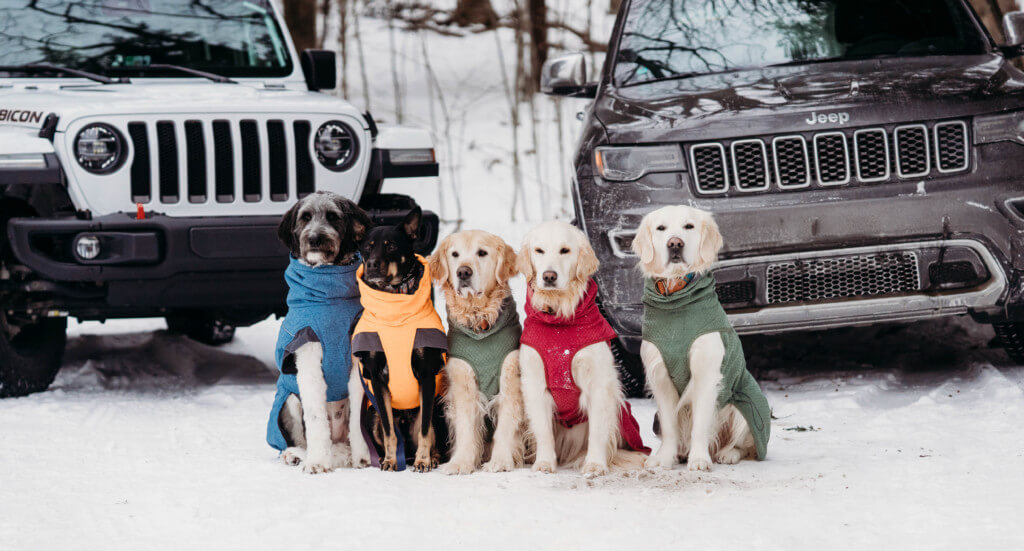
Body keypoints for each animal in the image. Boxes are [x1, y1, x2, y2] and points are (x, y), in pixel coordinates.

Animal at [268, 191, 372, 471]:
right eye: (305, 217)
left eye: (333, 217)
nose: (315, 237)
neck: (330, 300)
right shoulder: (308, 355)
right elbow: (315, 418)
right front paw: (316, 462)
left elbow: (358, 417)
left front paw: (363, 458)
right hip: (289, 398)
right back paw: (295, 454)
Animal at [348, 207, 448, 469]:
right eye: (368, 247)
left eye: (391, 246)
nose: (372, 264)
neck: (395, 309)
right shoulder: (376, 379)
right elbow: (388, 431)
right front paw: (392, 460)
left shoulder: (426, 376)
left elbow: (424, 430)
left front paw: (423, 460)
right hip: (370, 414)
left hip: (439, 409)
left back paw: (430, 457)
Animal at [630, 203, 770, 469]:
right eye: (661, 228)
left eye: (689, 226)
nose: (675, 244)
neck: (676, 297)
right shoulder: (659, 375)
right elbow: (671, 426)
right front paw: (665, 458)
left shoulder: (706, 374)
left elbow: (700, 424)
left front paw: (698, 460)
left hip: (745, 403)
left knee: (744, 445)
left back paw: (726, 454)